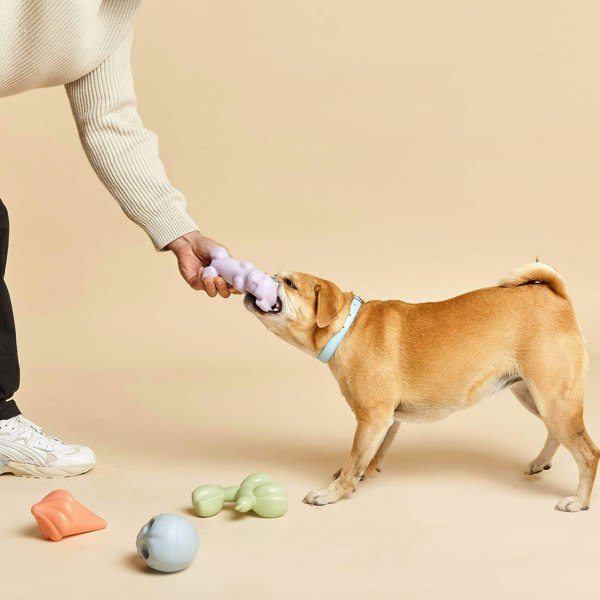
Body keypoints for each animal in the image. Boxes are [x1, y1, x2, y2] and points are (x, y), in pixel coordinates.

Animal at [244, 262, 600, 510]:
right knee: (556, 433)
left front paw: (332, 493)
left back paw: (579, 501)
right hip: (535, 396)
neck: (346, 327)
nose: (262, 278)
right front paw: (362, 474)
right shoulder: (387, 422)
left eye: (290, 283)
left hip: (554, 399)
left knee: (587, 452)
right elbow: (370, 455)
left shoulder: (372, 420)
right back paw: (541, 462)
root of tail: (555, 295)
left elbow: (355, 457)